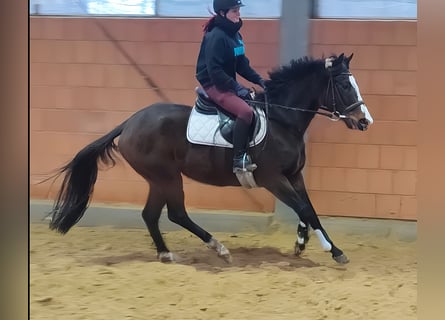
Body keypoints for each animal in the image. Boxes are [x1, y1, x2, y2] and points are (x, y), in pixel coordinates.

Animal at [46, 53, 372, 264]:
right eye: (345, 86)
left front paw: (305, 242)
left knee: (151, 214)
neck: (283, 119)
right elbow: (303, 208)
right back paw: (218, 248)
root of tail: (129, 123)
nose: (364, 121)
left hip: (158, 179)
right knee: (176, 213)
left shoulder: (294, 175)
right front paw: (331, 250)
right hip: (166, 176)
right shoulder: (273, 179)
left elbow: (309, 209)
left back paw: (166, 253)